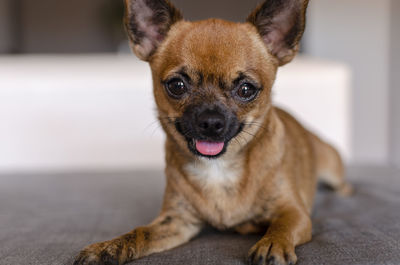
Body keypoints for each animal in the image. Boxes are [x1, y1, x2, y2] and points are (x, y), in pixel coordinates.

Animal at [73, 0, 352, 264]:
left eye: (246, 89)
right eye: (176, 85)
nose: (210, 121)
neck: (219, 168)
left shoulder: (295, 213)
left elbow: (282, 225)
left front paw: (272, 243)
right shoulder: (177, 221)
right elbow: (139, 232)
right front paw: (109, 247)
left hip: (331, 169)